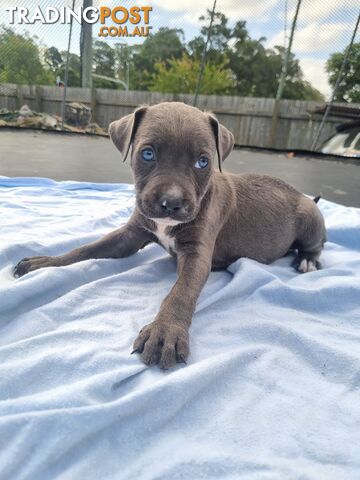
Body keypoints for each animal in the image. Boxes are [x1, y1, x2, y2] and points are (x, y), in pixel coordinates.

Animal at [14, 103, 326, 370]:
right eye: (147, 154)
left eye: (203, 162)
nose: (171, 203)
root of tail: (303, 195)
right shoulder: (131, 235)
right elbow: (86, 249)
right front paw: (43, 263)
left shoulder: (197, 253)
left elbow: (181, 292)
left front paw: (164, 332)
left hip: (310, 217)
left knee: (316, 244)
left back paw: (307, 260)